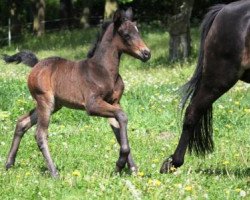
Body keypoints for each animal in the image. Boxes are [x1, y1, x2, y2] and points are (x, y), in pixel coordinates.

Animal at [3, 7, 150, 177]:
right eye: (126, 35)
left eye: (138, 31)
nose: (147, 53)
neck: (103, 70)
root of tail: (37, 64)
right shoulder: (92, 105)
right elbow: (122, 117)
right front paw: (120, 165)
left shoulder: (114, 102)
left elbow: (119, 127)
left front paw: (132, 169)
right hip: (45, 101)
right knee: (40, 134)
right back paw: (54, 172)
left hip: (55, 105)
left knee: (22, 122)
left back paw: (8, 164)